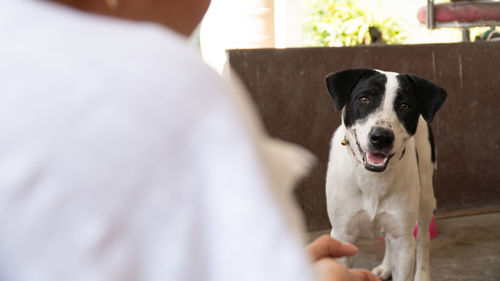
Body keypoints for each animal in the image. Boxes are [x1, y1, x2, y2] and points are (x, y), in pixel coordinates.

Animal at [326, 68, 448, 280]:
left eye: (404, 106)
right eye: (364, 99)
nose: (381, 137)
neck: (373, 178)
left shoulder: (403, 240)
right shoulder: (342, 236)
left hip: (425, 197)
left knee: (422, 239)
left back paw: (422, 274)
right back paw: (386, 267)